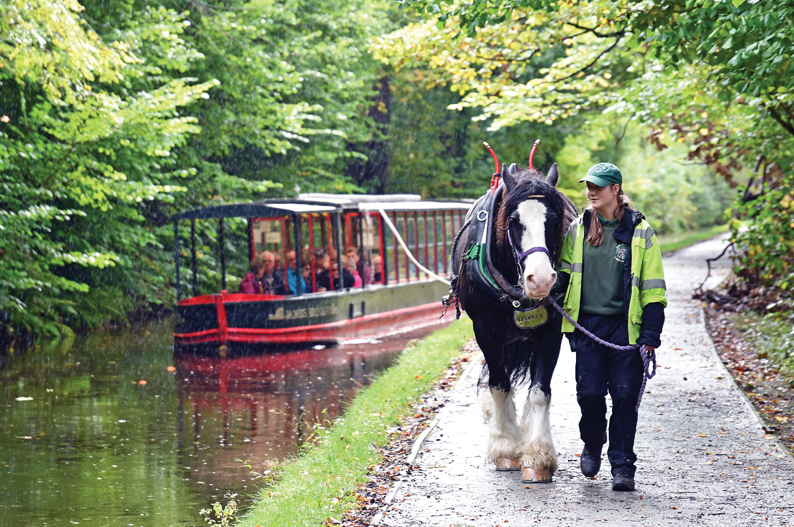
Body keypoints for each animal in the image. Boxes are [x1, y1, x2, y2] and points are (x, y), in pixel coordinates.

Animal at [450, 162, 577, 482]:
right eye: (513, 220)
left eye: (554, 219)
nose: (541, 280)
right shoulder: (485, 332)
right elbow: (499, 385)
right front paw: (505, 449)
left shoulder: (550, 333)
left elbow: (540, 392)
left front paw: (538, 457)